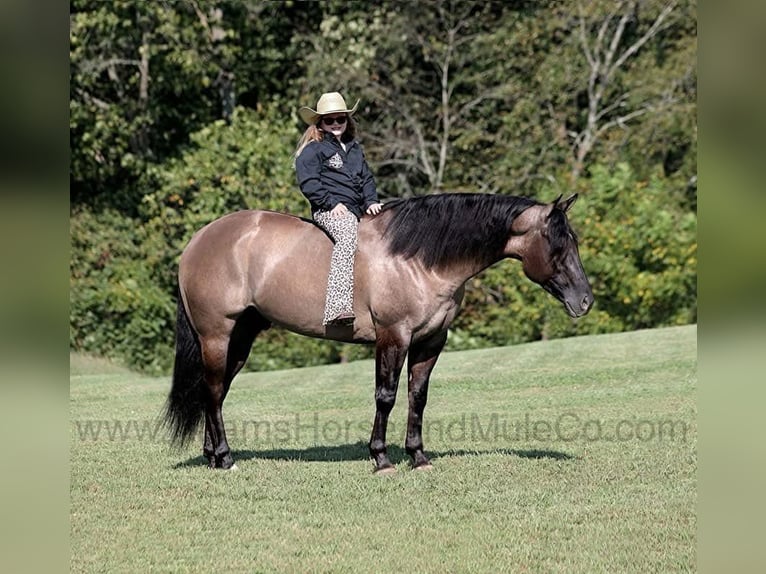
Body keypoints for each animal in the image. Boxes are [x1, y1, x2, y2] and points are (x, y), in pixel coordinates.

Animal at [164, 192, 592, 472]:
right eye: (557, 245)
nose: (585, 301)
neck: (418, 258)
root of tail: (196, 242)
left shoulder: (430, 342)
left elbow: (417, 397)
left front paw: (418, 456)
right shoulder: (393, 336)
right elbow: (385, 396)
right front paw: (381, 457)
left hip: (240, 338)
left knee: (213, 392)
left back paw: (213, 456)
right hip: (217, 336)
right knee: (213, 392)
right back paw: (225, 459)